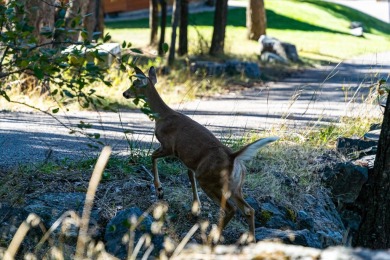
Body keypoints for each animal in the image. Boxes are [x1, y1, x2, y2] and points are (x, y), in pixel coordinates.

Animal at [123, 65, 278, 242]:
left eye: (134, 83)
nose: (125, 93)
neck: (161, 116)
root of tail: (232, 158)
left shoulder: (169, 146)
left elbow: (153, 156)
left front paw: (160, 190)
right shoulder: (188, 159)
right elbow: (189, 176)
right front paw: (196, 208)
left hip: (209, 179)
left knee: (231, 209)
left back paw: (213, 237)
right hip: (235, 185)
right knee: (248, 209)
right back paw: (250, 240)